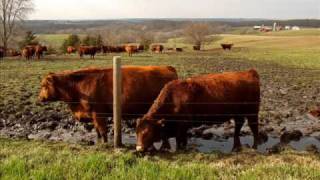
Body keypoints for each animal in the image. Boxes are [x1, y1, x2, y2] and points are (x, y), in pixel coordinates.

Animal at [38, 66, 179, 143]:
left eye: (44, 85)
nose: (39, 98)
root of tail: (167, 67)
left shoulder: (99, 114)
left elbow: (102, 130)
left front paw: (105, 143)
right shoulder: (94, 115)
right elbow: (97, 131)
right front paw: (99, 141)